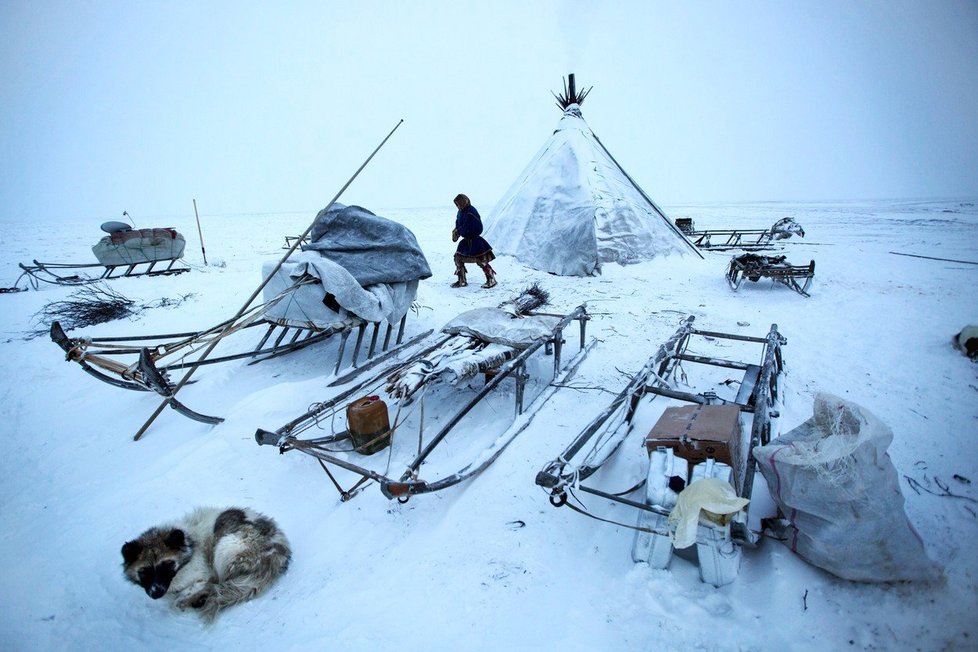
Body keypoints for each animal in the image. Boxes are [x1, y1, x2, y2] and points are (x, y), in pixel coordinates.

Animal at [121, 506, 290, 620]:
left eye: (167, 564)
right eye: (144, 571)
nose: (156, 592)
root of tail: (279, 548)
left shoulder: (202, 573)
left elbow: (184, 596)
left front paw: (189, 596)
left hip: (224, 546)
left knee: (219, 582)